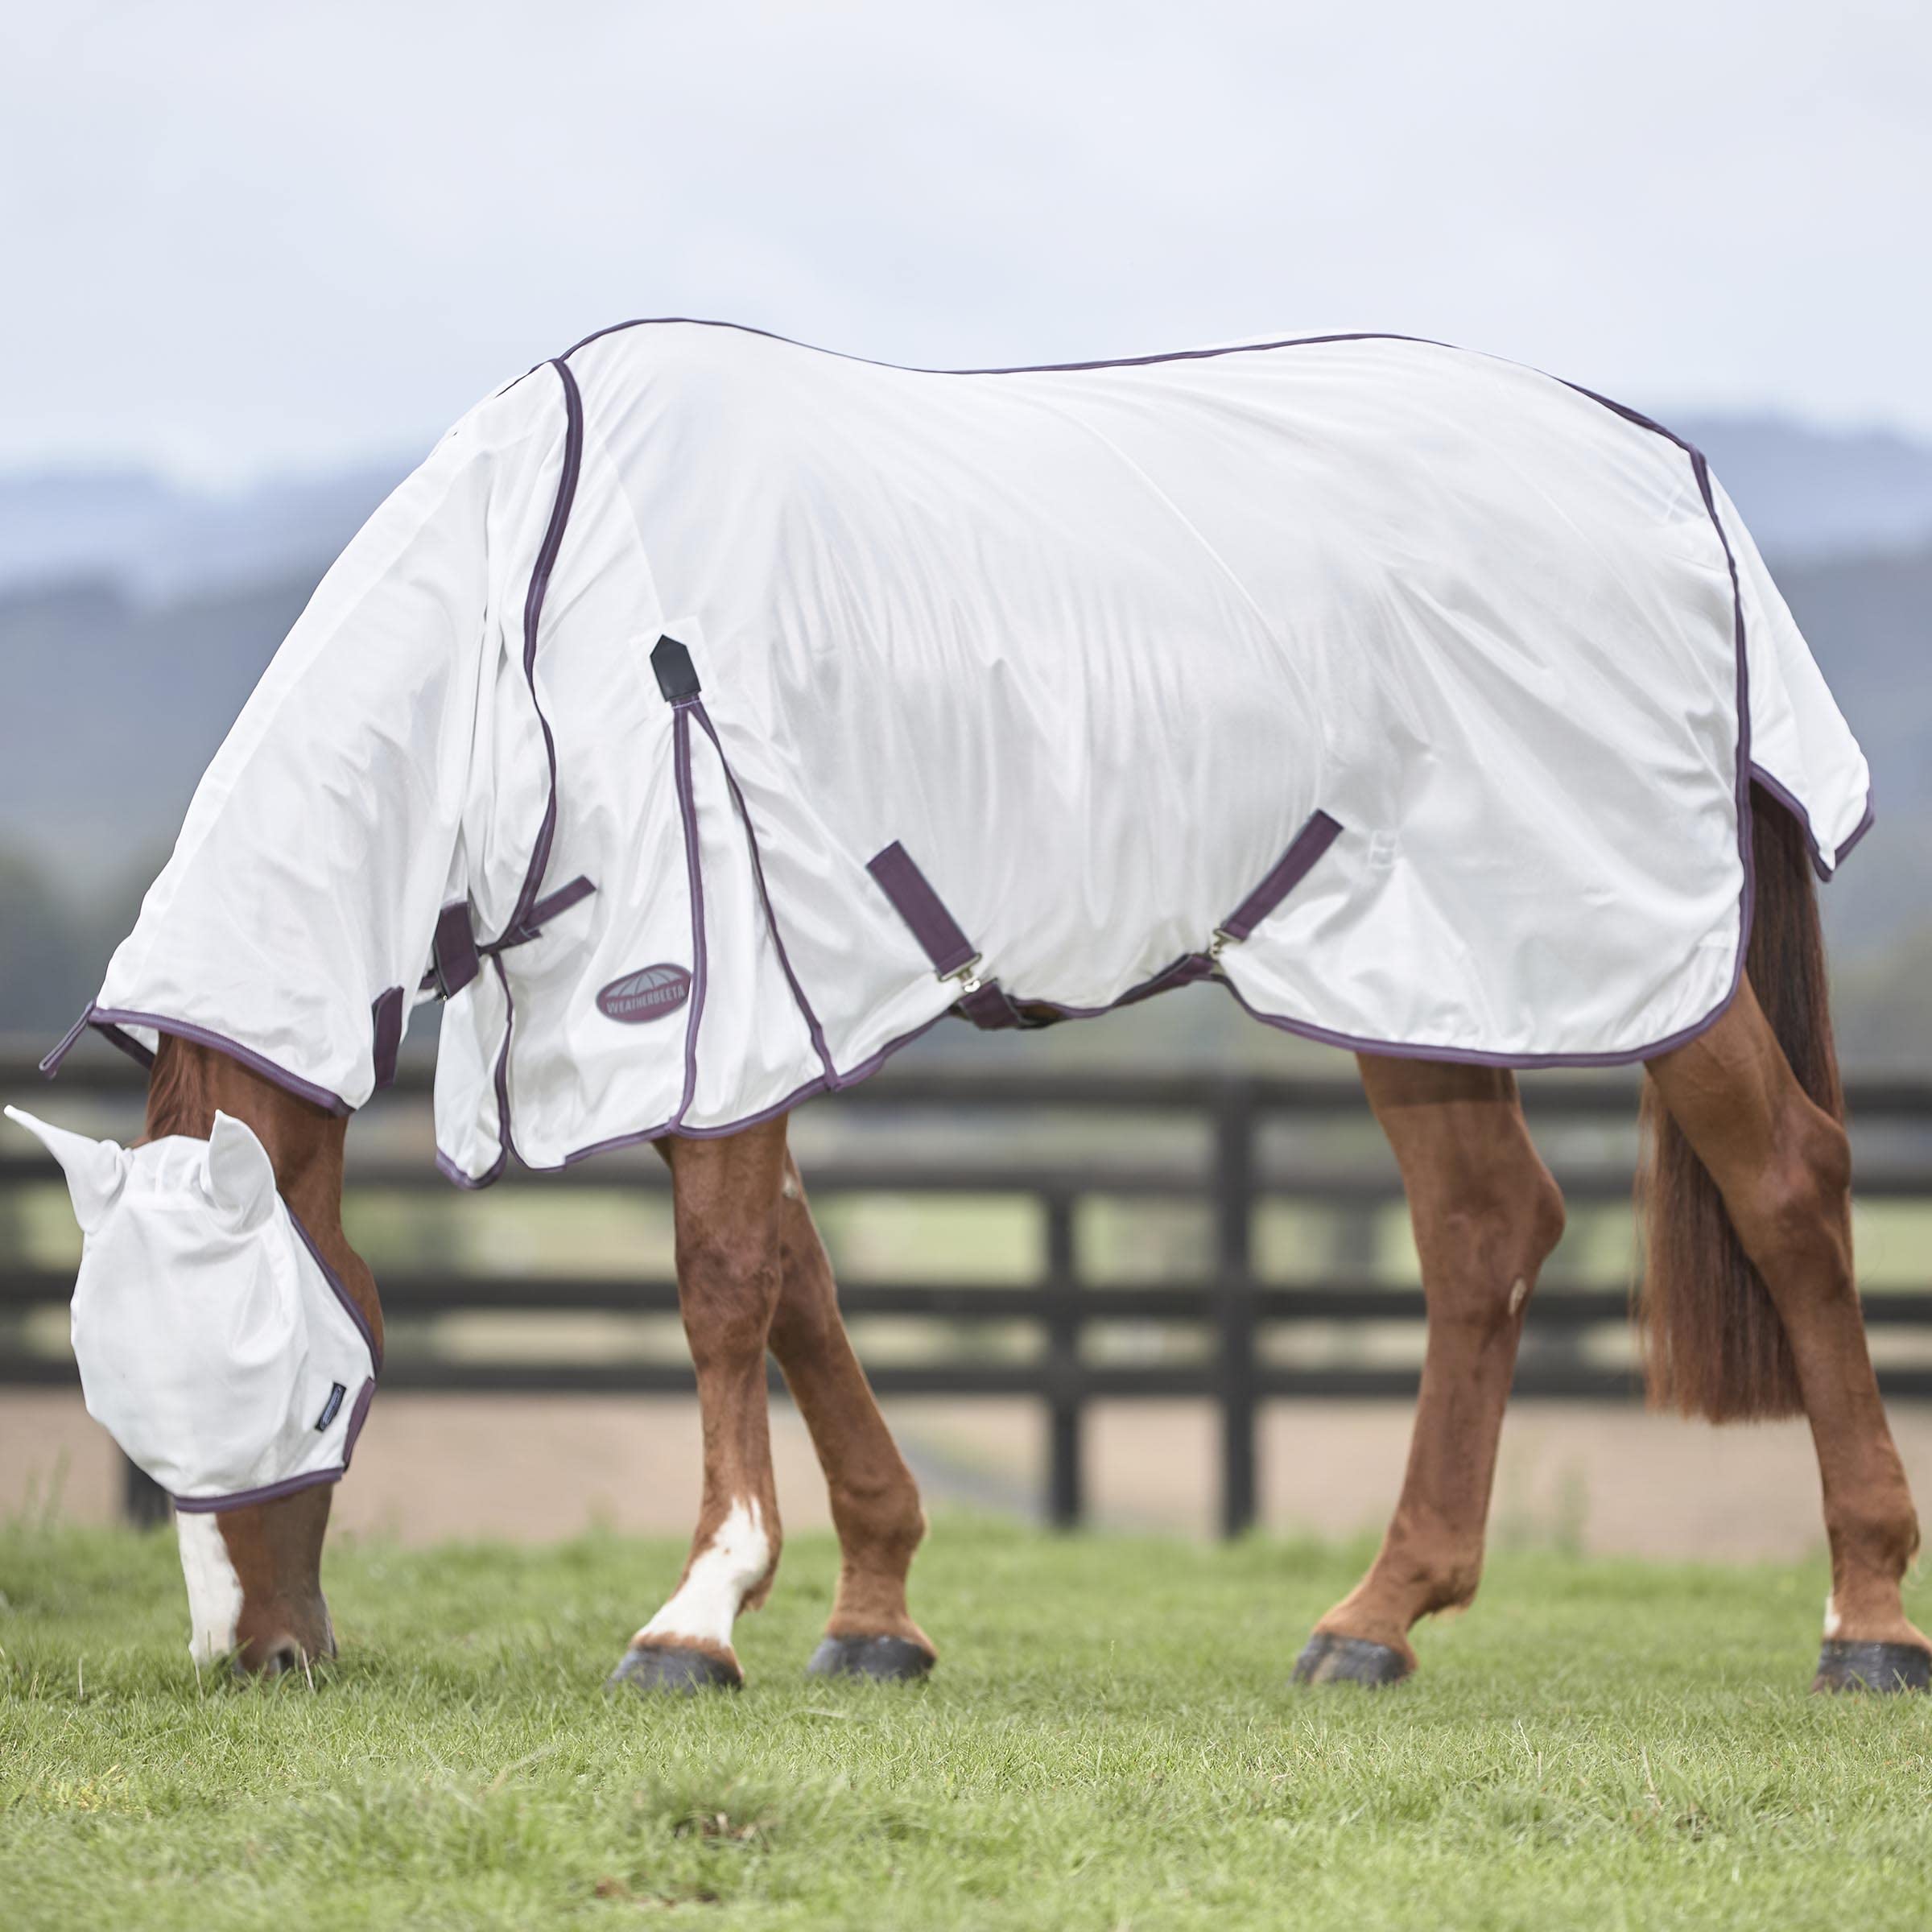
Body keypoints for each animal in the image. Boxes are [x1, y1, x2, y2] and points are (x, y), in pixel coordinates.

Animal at [13, 320, 1926, 1694]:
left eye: (318, 1393)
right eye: (123, 1408)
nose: (261, 1660)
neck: (536, 627)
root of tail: (1675, 476)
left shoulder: (709, 995)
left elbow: (726, 1287)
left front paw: (694, 1621)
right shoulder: (752, 1021)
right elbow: (802, 1280)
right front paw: (871, 1615)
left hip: (1626, 951)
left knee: (1788, 1184)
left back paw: (1865, 1623)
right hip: (1414, 974)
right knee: (1486, 1233)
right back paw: (1374, 1623)